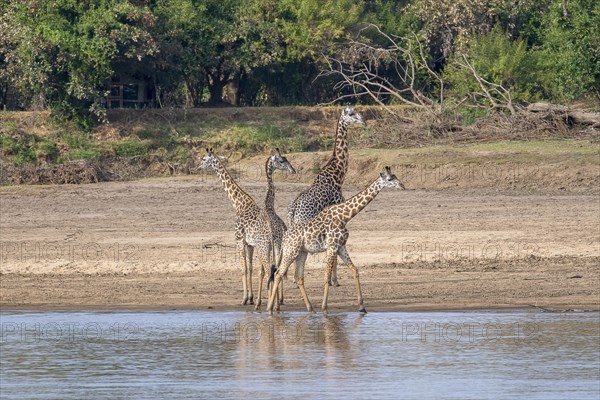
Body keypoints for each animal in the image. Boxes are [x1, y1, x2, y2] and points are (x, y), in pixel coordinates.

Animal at [198, 148, 292, 308]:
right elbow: (250, 268)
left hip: (264, 247)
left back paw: (271, 305)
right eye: (282, 160)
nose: (198, 167)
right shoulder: (249, 244)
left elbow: (243, 268)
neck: (238, 204)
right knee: (277, 270)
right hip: (274, 247)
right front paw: (251, 298)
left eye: (204, 159)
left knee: (270, 271)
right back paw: (277, 304)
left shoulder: (239, 240)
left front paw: (244, 299)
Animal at [268, 166, 406, 316]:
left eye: (395, 176)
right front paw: (325, 308)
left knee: (298, 277)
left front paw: (362, 307)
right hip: (291, 251)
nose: (402, 185)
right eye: (390, 179)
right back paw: (270, 308)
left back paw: (310, 309)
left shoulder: (341, 246)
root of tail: (285, 237)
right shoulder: (332, 246)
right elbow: (326, 275)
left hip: (301, 253)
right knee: (278, 274)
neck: (344, 216)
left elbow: (355, 270)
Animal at [288, 105, 366, 288]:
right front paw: (334, 281)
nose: (364, 121)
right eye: (351, 113)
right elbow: (334, 252)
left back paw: (294, 281)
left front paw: (331, 279)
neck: (338, 173)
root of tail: (293, 211)